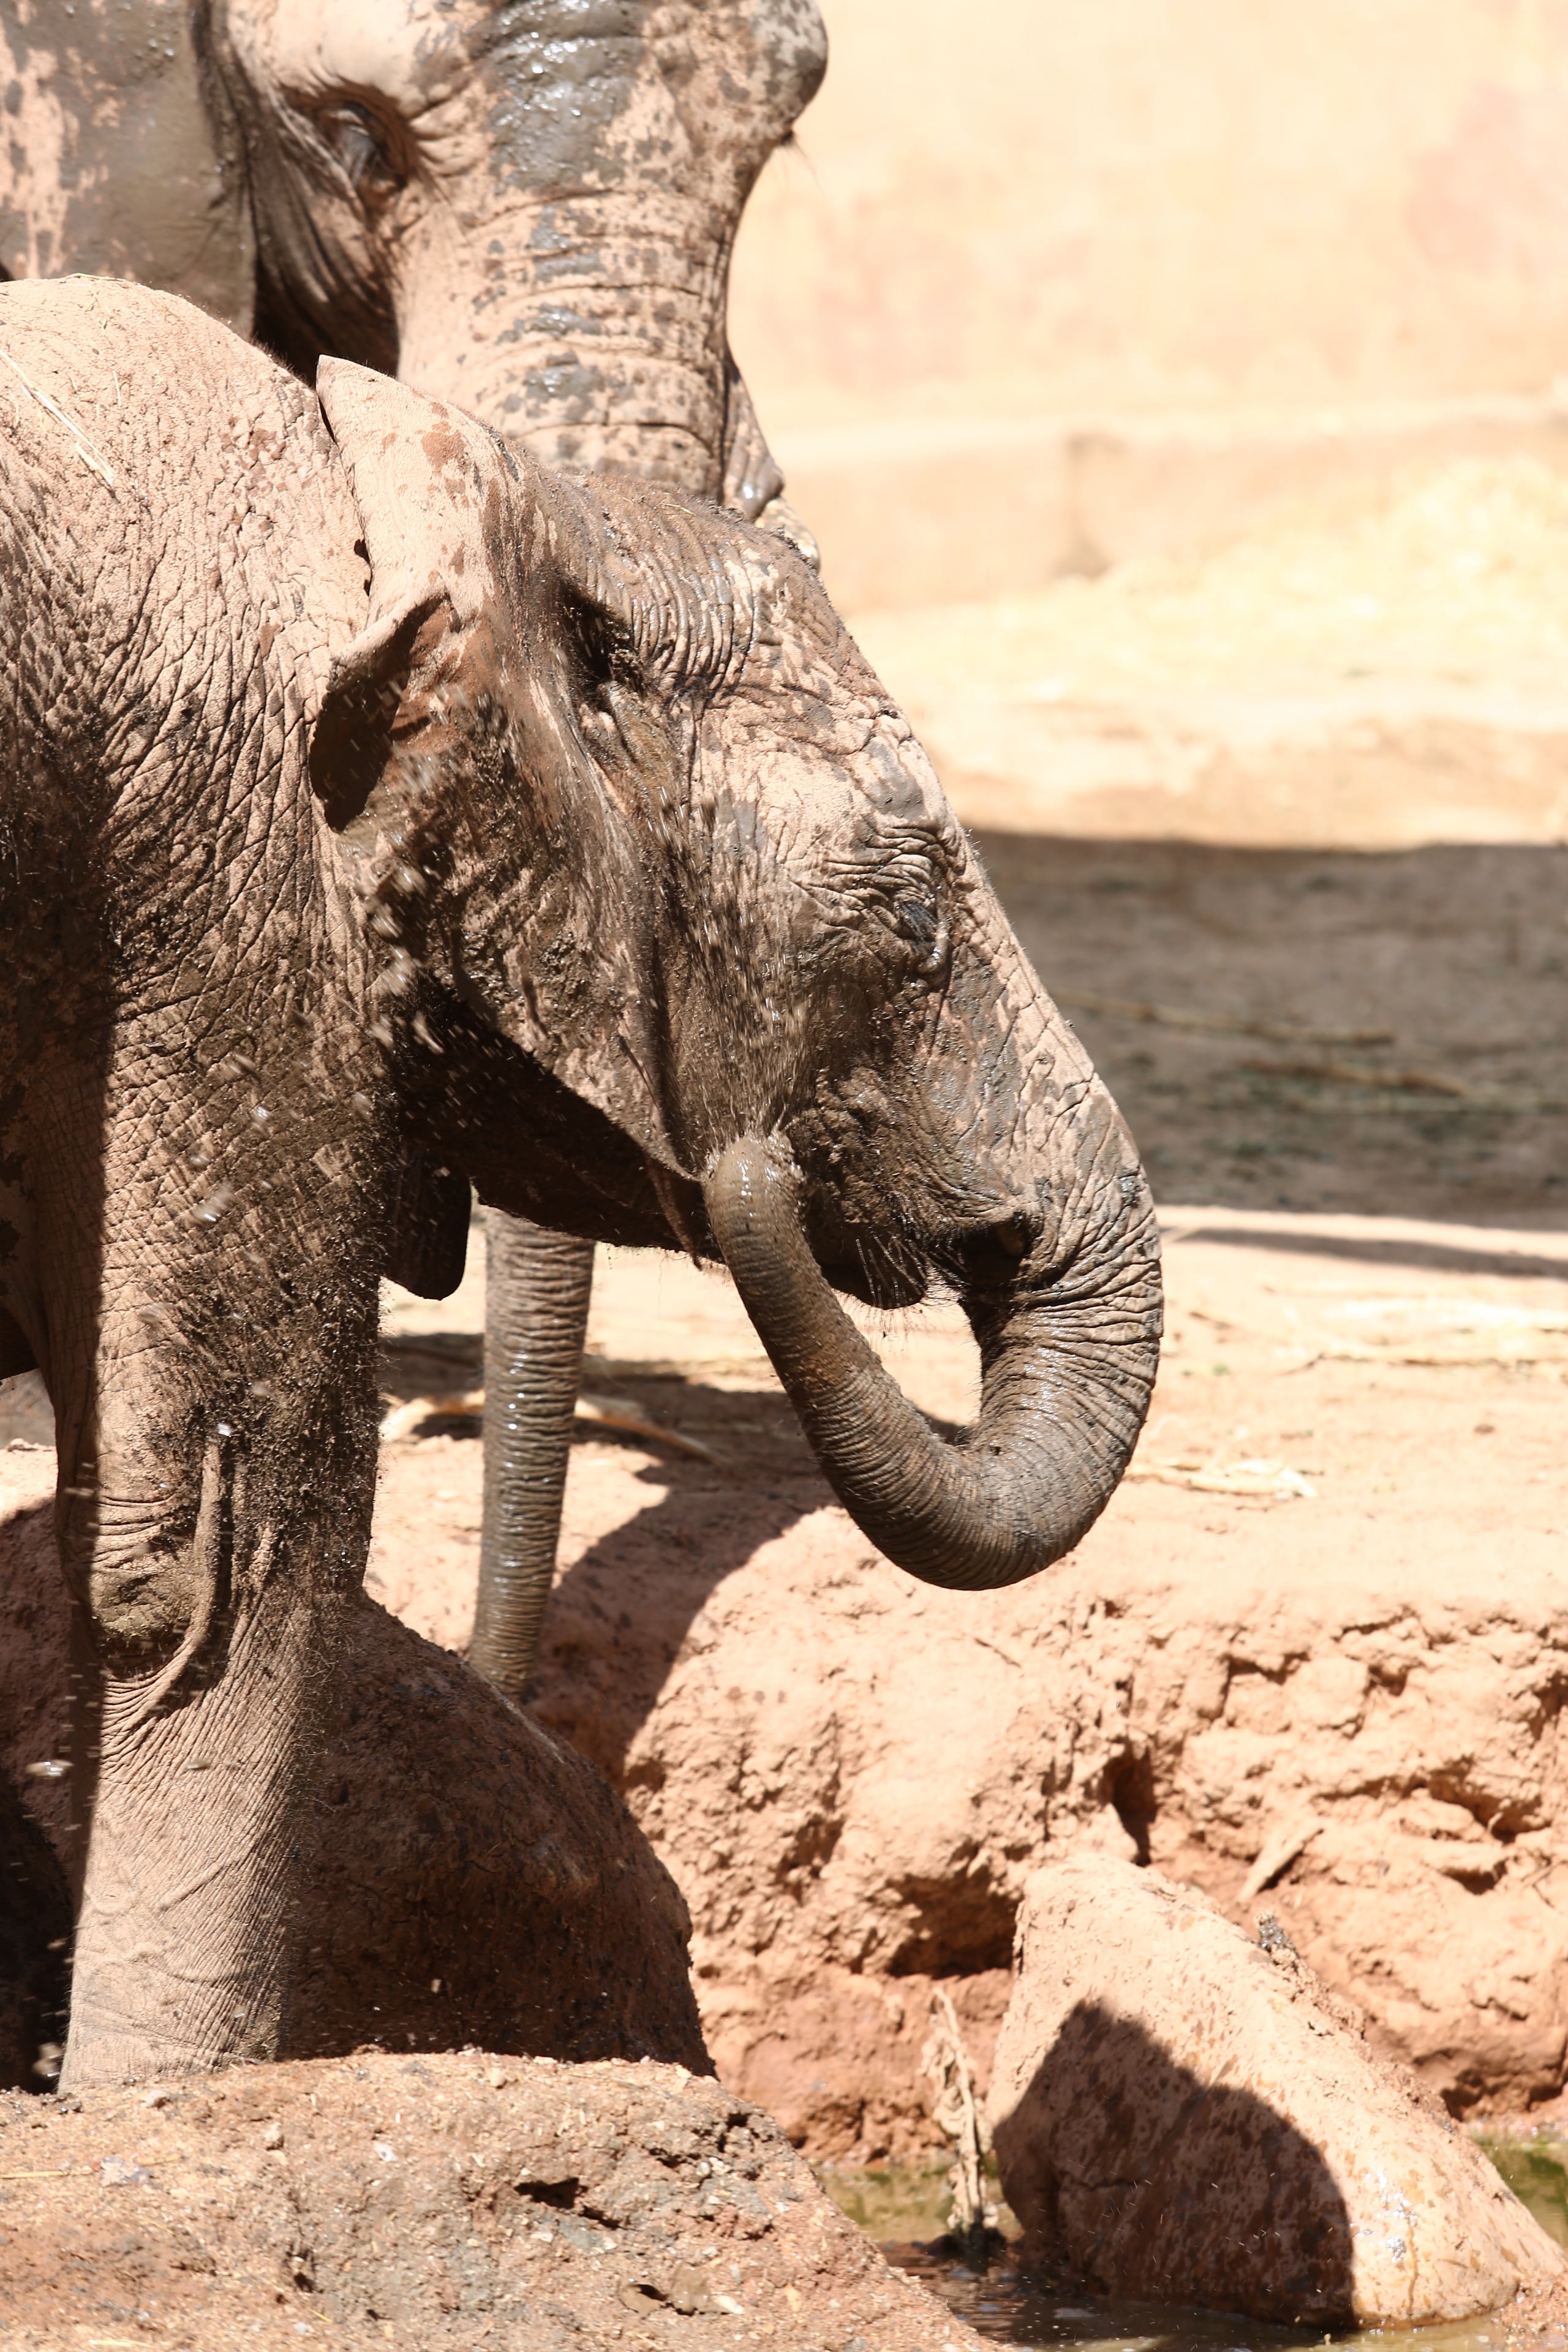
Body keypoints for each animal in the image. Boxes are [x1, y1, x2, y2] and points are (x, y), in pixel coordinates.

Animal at [0, 274, 1161, 2086]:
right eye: (912, 923)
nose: (754, 1163)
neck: (467, 496)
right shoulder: (228, 876)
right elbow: (219, 1553)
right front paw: (163, 2106)